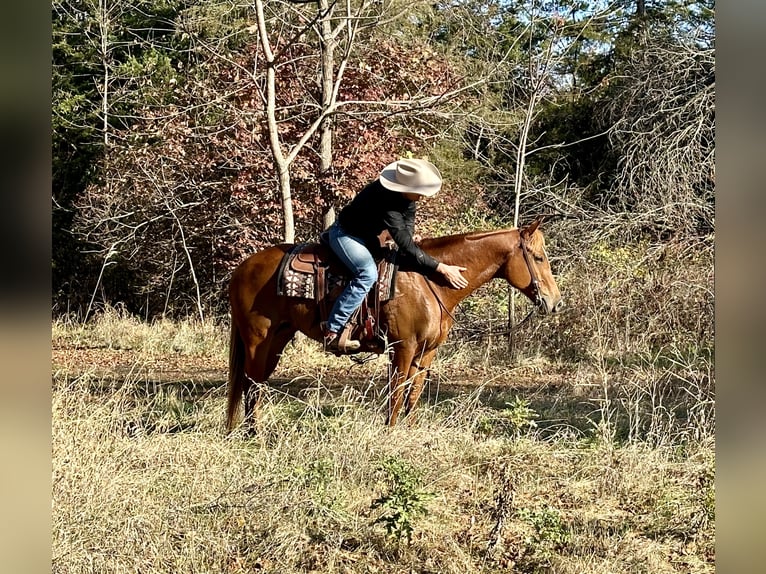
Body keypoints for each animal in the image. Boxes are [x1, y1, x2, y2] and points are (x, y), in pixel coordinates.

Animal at [226, 219, 564, 432]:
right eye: (538, 257)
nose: (555, 302)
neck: (430, 282)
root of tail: (241, 268)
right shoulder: (402, 348)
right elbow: (397, 394)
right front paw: (389, 433)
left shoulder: (425, 353)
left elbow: (413, 393)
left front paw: (408, 432)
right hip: (257, 340)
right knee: (250, 385)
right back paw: (253, 436)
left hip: (277, 339)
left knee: (254, 384)